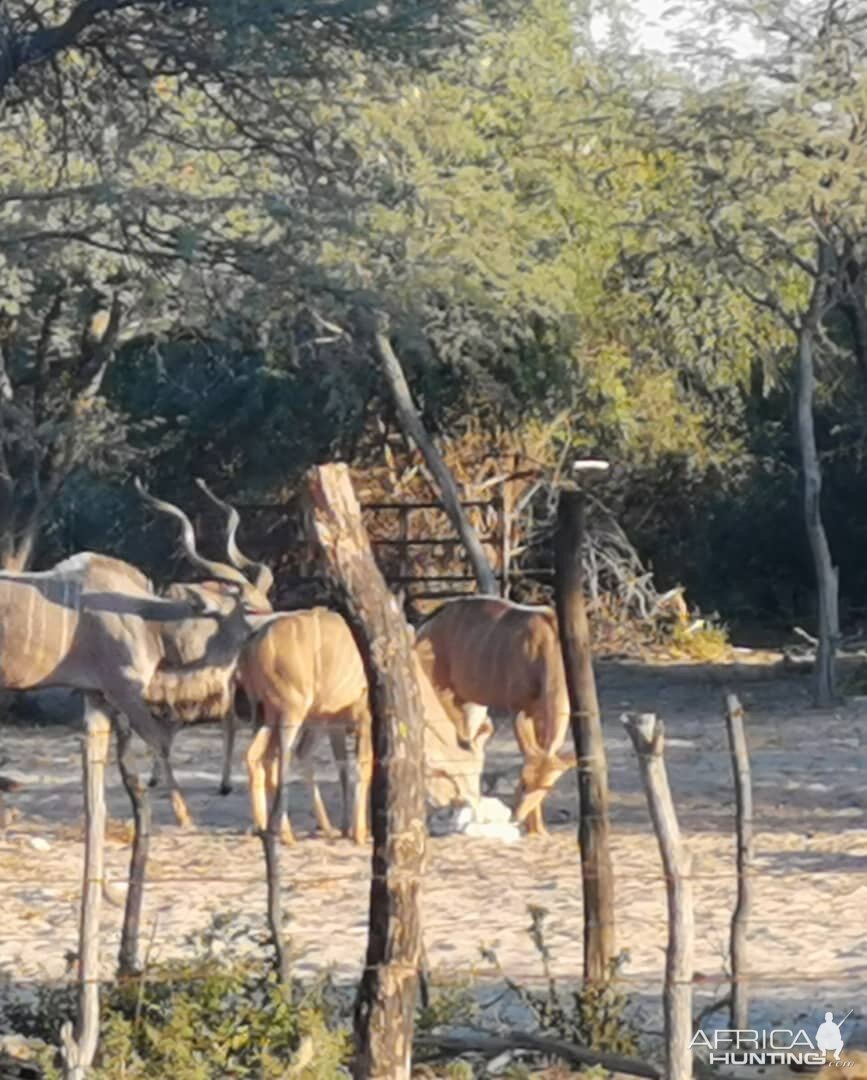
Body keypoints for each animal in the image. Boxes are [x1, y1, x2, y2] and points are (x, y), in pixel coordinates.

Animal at [240, 609, 492, 842]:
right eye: (472, 770)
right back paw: (286, 834)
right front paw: (360, 834)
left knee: (257, 756)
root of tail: (252, 644)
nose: (477, 809)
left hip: (268, 715)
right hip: (292, 712)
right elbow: (364, 766)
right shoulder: (364, 718)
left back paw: (267, 827)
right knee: (279, 761)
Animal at [416, 600, 578, 833]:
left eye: (547, 788)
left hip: (469, 700)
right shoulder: (518, 707)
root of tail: (424, 626)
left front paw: (540, 829)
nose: (518, 816)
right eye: (523, 782)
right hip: (442, 690)